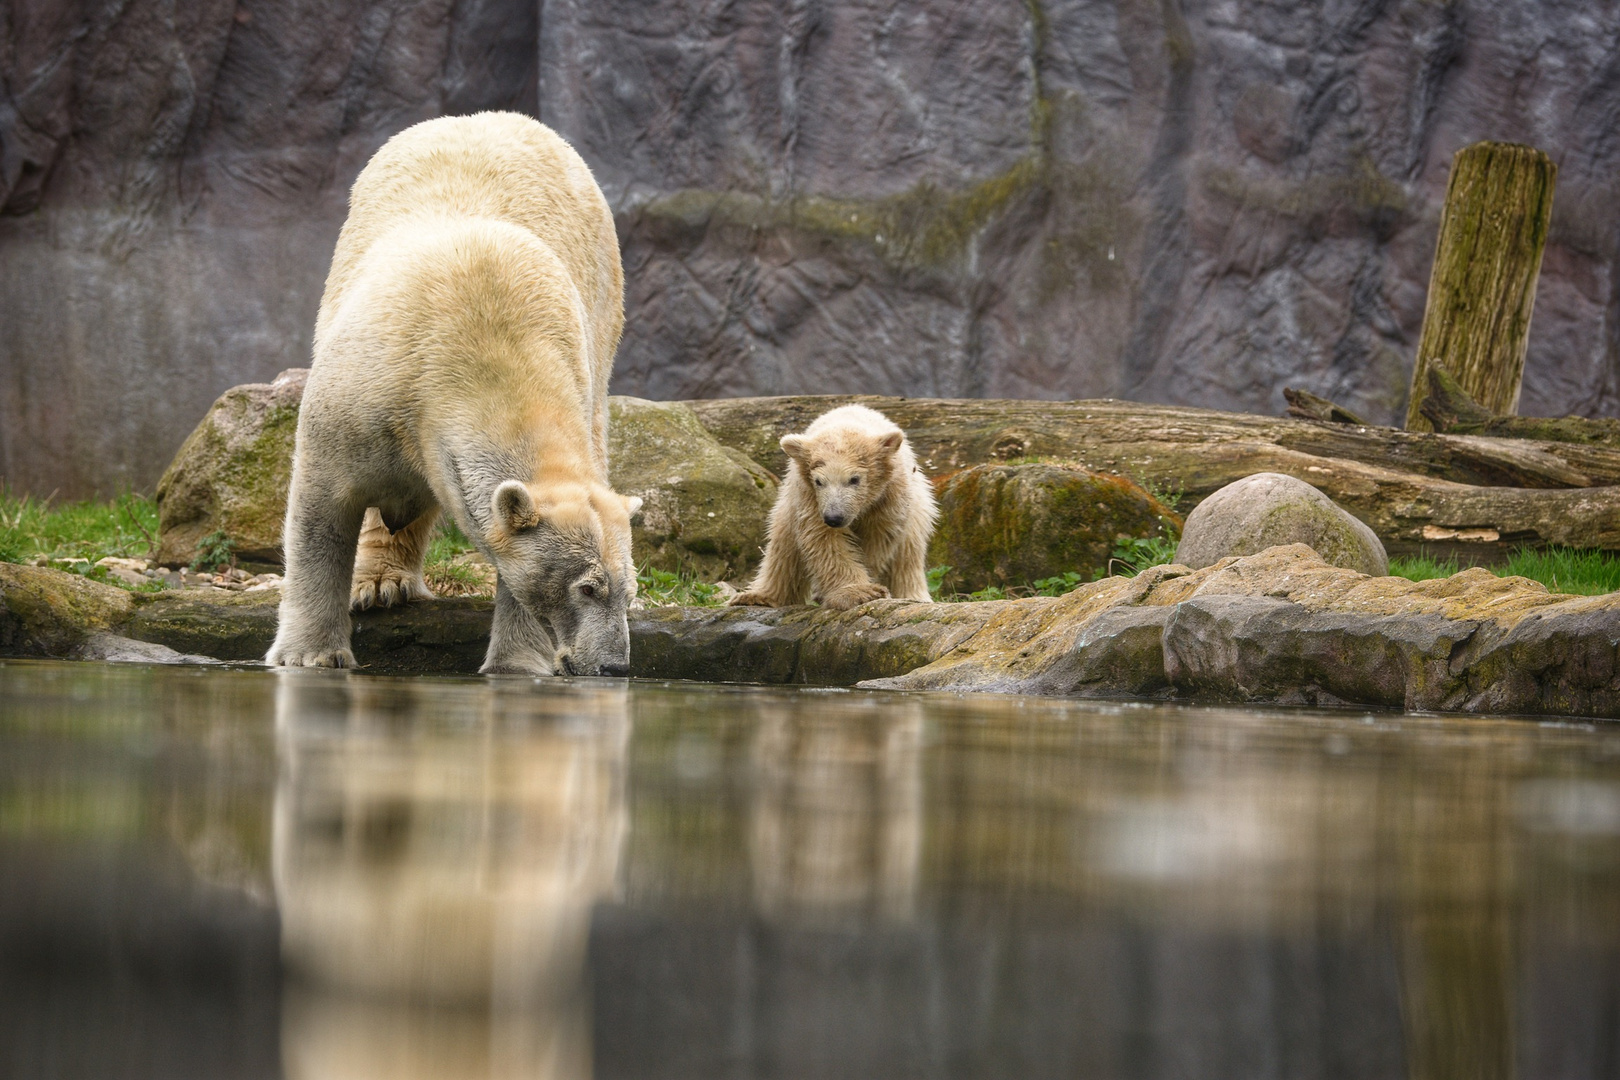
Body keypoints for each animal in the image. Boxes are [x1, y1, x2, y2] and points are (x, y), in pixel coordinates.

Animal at [268, 116, 641, 676]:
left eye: (629, 593)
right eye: (587, 588)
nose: (615, 666)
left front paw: (516, 663)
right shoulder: (362, 397)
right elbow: (321, 510)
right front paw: (310, 654)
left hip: (602, 306)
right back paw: (378, 582)